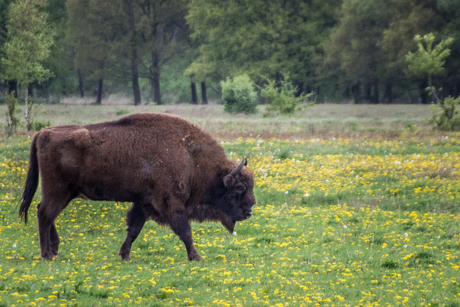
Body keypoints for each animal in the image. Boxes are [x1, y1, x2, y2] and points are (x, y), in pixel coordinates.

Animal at [18, 113, 255, 262]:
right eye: (239, 188)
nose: (250, 209)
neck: (190, 157)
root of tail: (43, 133)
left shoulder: (143, 202)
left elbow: (133, 229)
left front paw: (124, 255)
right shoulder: (171, 204)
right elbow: (185, 231)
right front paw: (197, 257)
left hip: (65, 192)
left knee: (46, 213)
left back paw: (55, 249)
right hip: (58, 190)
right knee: (45, 214)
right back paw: (47, 254)